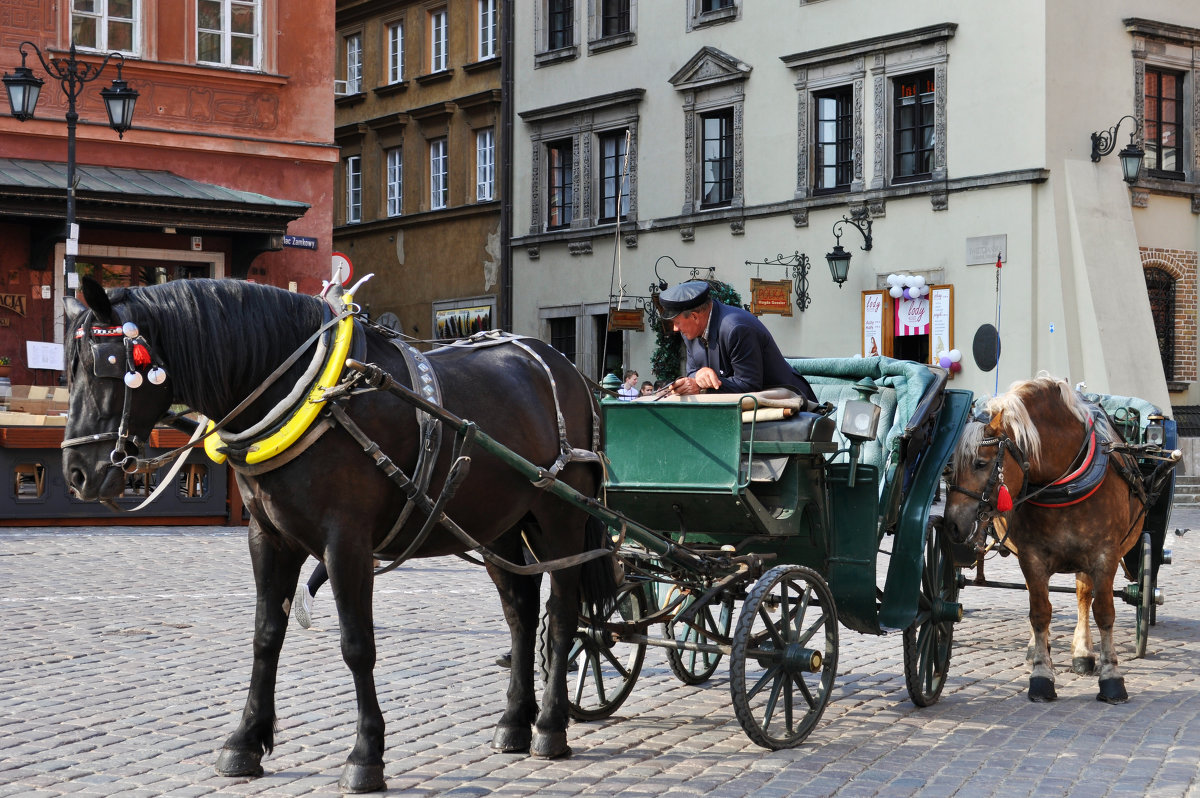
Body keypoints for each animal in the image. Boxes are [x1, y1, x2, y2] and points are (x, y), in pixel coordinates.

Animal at [60, 278, 614, 792]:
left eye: (109, 366)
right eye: (71, 370)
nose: (77, 473)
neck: (315, 395)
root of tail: (568, 369)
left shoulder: (346, 543)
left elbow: (357, 645)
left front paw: (366, 753)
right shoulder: (268, 538)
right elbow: (266, 635)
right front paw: (245, 740)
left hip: (560, 520)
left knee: (563, 617)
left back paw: (550, 726)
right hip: (498, 525)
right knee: (521, 614)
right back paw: (515, 721)